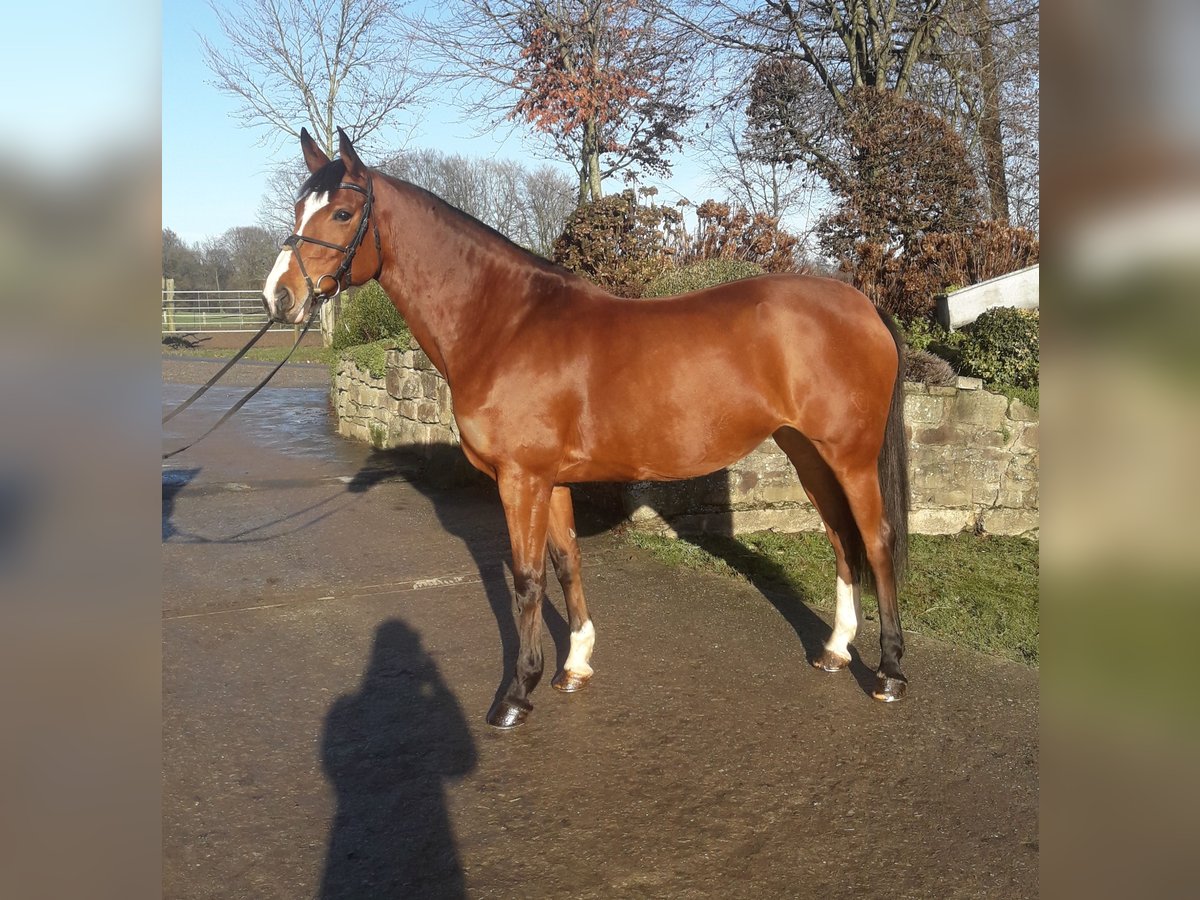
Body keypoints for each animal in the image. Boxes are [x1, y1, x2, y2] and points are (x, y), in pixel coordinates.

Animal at [262, 128, 907, 734]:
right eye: (297, 209)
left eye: (342, 213)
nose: (278, 297)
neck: (505, 324)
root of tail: (862, 305)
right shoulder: (551, 481)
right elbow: (567, 562)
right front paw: (574, 665)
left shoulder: (520, 480)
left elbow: (526, 581)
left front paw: (517, 693)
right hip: (807, 453)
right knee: (841, 540)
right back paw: (833, 651)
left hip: (850, 457)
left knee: (876, 542)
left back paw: (890, 673)